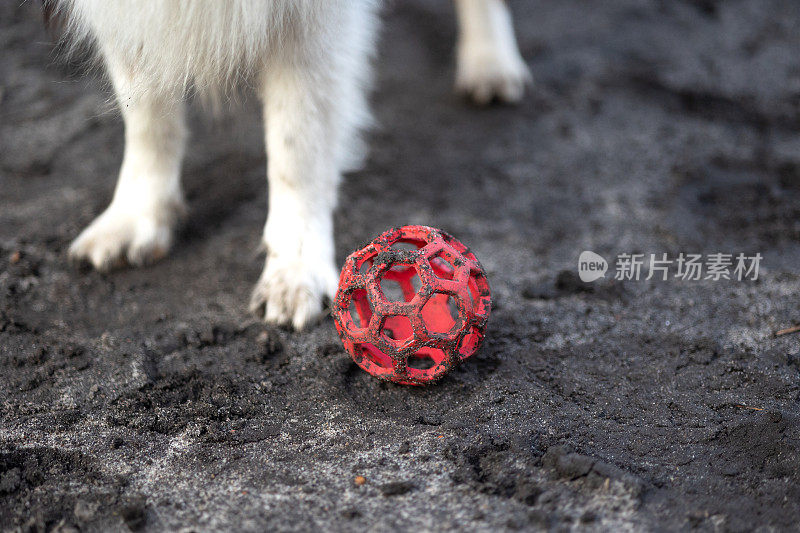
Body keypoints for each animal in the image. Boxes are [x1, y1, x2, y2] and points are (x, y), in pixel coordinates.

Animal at [54, 0, 532, 328]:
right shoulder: (129, 18)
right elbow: (147, 116)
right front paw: (137, 215)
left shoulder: (310, 19)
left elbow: (297, 146)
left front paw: (296, 270)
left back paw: (489, 61)